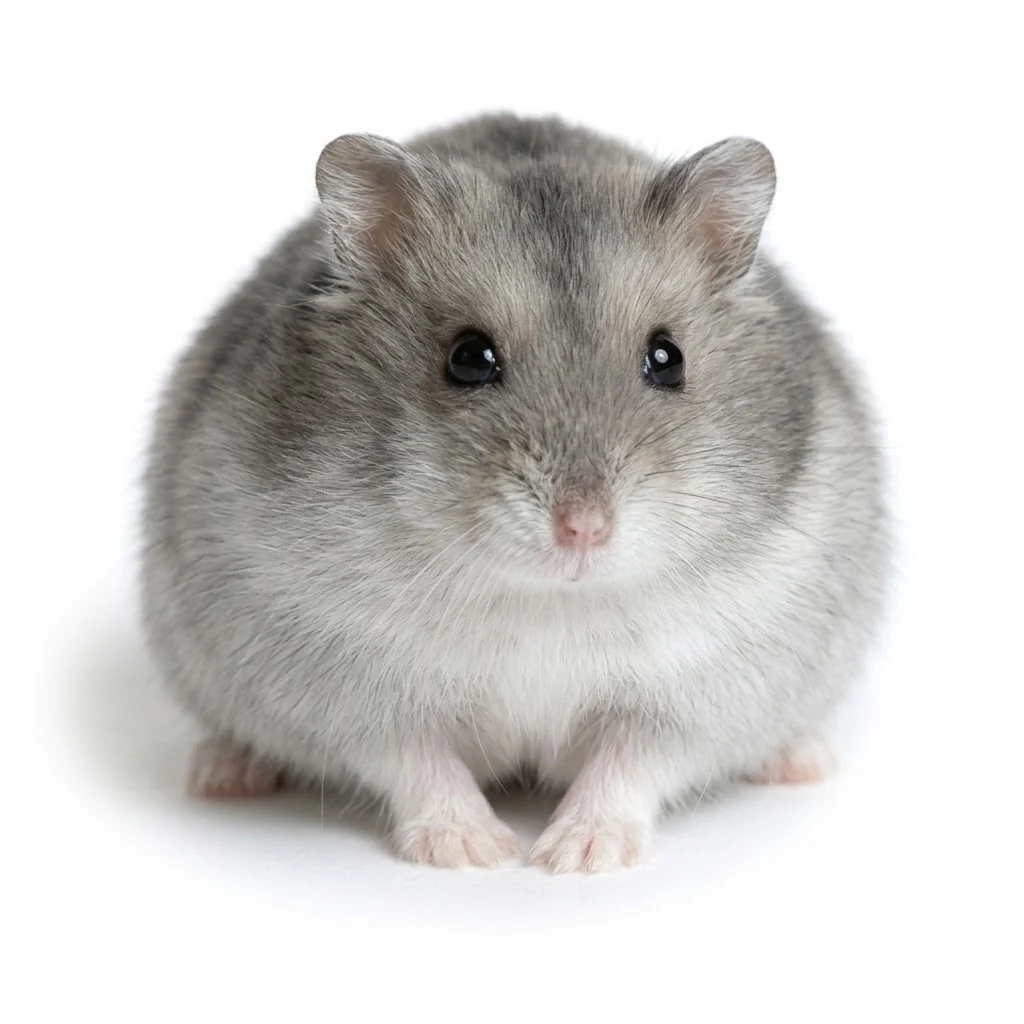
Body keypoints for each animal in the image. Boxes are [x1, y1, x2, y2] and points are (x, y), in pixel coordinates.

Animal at [140, 113, 889, 872]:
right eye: (469, 358)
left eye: (667, 358)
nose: (584, 528)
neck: (545, 600)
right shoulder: (350, 695)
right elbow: (418, 763)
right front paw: (475, 852)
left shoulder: (693, 697)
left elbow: (630, 764)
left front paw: (575, 856)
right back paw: (223, 773)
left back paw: (803, 761)